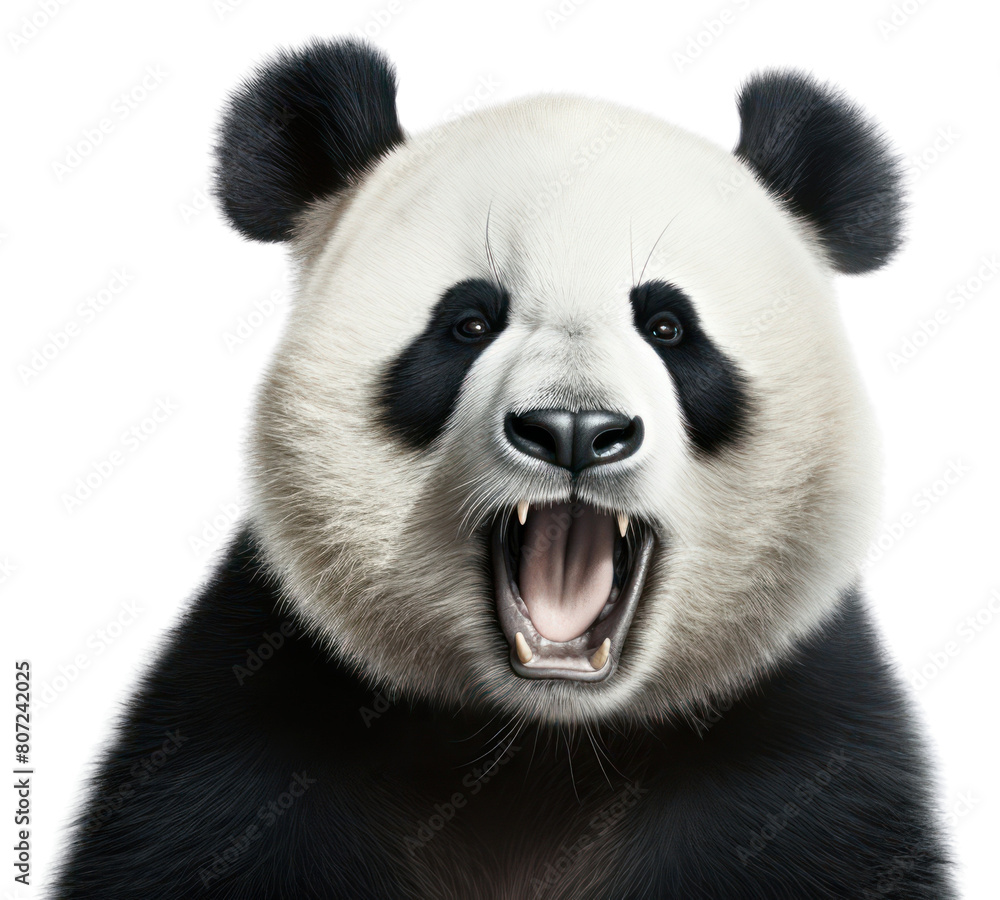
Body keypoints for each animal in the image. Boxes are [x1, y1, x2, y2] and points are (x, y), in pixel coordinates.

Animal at [54, 38, 954, 899]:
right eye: (469, 323)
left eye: (668, 326)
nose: (573, 429)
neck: (540, 746)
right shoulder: (251, 734)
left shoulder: (802, 767)